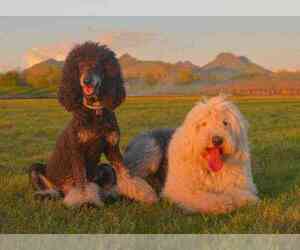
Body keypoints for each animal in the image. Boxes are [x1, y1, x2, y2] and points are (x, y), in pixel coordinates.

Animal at [123, 95, 258, 213]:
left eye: (225, 122)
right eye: (203, 123)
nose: (217, 140)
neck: (208, 167)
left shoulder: (243, 185)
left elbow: (243, 195)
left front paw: (234, 199)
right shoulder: (180, 189)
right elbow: (202, 197)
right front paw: (223, 203)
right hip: (150, 148)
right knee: (127, 175)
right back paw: (143, 191)